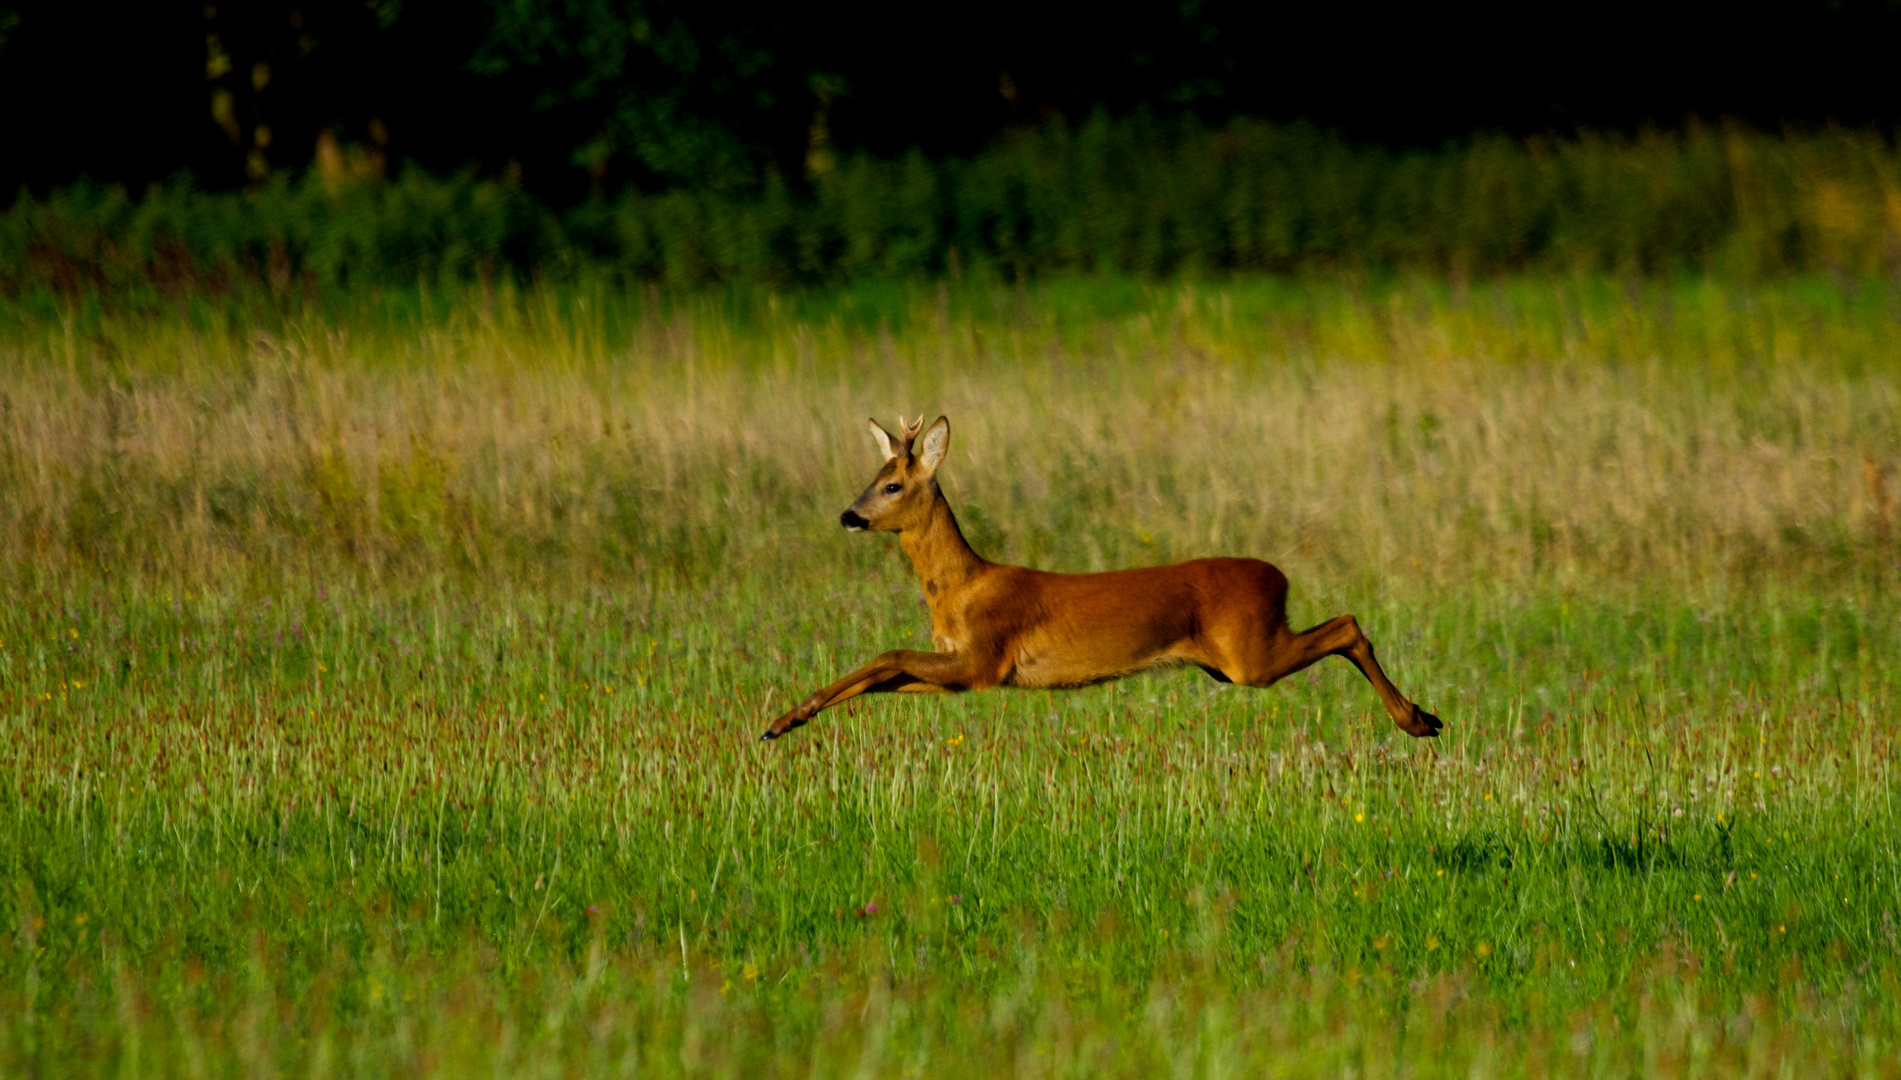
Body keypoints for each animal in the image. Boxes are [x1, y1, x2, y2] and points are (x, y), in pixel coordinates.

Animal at [756, 416, 1437, 741]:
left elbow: (886, 655)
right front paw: (787, 721)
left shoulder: (985, 659)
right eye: (871, 477)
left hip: (1250, 654)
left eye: (894, 484)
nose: (849, 515)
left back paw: (1417, 720)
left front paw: (784, 718)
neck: (963, 588)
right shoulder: (962, 670)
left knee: (1347, 624)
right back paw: (1423, 716)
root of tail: (1281, 576)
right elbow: (882, 677)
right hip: (1235, 660)